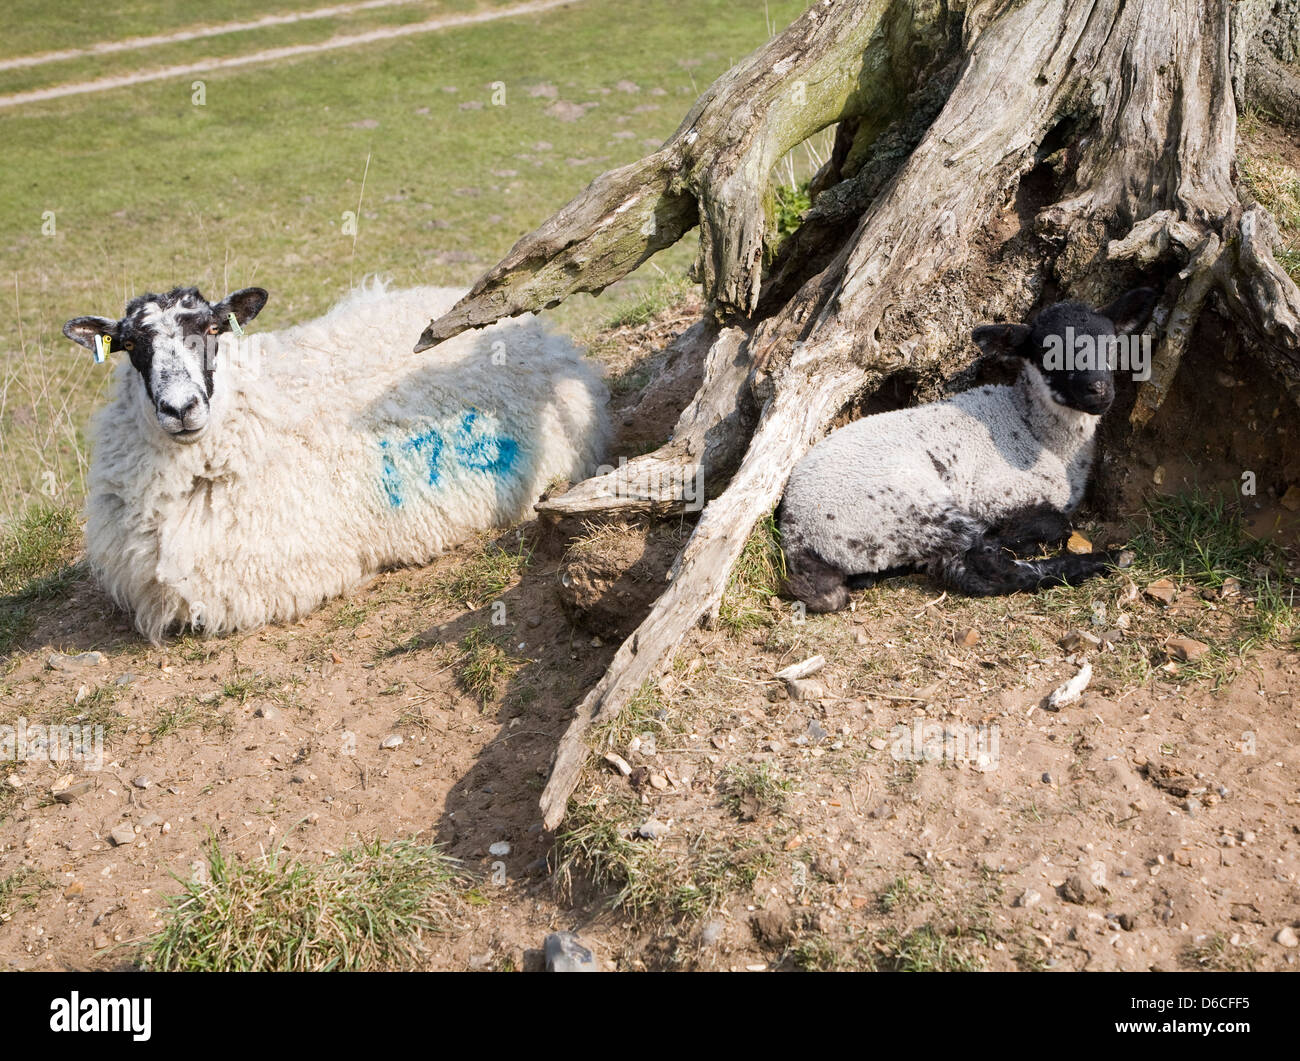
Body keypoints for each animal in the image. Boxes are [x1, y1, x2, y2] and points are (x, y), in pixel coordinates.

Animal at [774, 288, 1164, 613]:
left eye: (1111, 345)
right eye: (1048, 354)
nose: (1098, 390)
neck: (1034, 429)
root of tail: (796, 533)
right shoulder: (995, 494)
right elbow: (1054, 523)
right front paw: (1023, 536)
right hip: (910, 508)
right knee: (980, 567)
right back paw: (1106, 559)